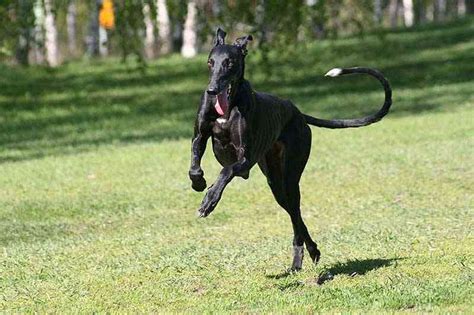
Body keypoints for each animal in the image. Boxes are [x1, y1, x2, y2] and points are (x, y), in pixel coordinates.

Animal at [189, 28, 392, 272]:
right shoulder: (200, 137)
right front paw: (199, 183)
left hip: (291, 176)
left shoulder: (245, 159)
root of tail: (297, 112)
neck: (228, 105)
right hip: (276, 183)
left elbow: (226, 171)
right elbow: (194, 165)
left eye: (229, 63)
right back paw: (310, 253)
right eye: (210, 62)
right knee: (294, 214)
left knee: (296, 214)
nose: (212, 90)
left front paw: (209, 201)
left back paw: (302, 257)